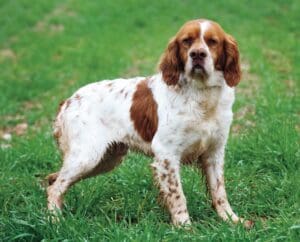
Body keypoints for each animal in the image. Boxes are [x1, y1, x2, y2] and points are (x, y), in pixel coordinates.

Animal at [47, 18, 253, 227]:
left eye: (212, 42)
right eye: (186, 41)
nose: (197, 55)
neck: (200, 94)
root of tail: (68, 101)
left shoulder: (214, 152)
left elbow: (219, 192)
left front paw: (232, 220)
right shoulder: (166, 154)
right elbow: (178, 195)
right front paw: (184, 226)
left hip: (106, 159)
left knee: (52, 179)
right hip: (87, 156)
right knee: (55, 186)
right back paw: (55, 221)